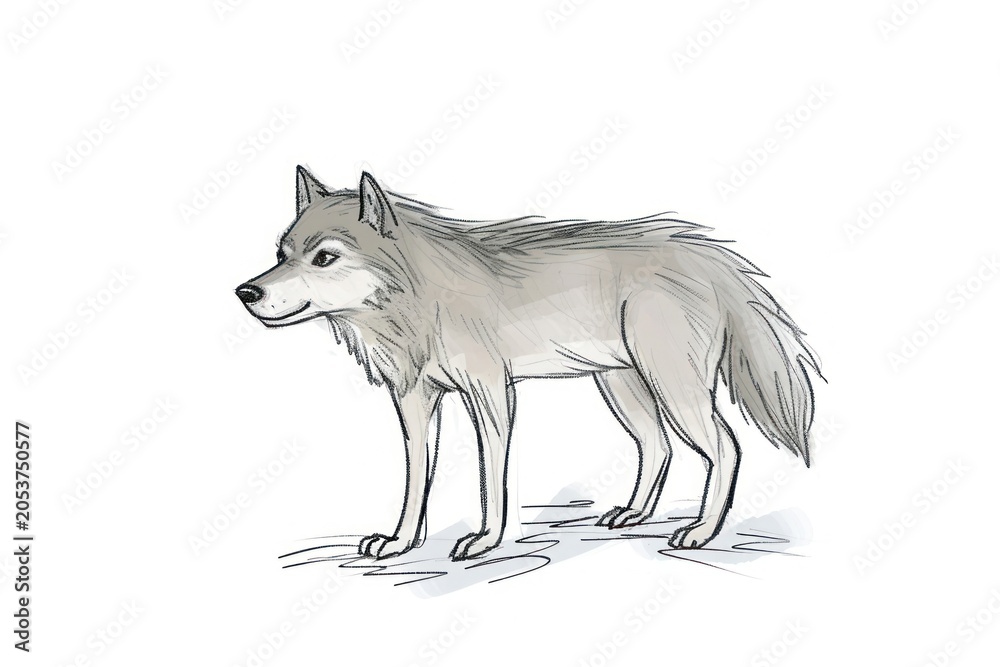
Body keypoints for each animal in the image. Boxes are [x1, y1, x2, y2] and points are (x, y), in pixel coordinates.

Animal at [236, 166, 821, 561]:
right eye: (282, 253)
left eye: (324, 258)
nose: (246, 292)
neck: (422, 297)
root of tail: (707, 253)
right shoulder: (415, 404)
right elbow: (415, 478)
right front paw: (402, 541)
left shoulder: (492, 394)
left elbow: (492, 476)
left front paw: (486, 539)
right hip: (624, 389)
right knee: (659, 446)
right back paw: (635, 513)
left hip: (673, 388)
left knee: (725, 445)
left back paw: (702, 531)